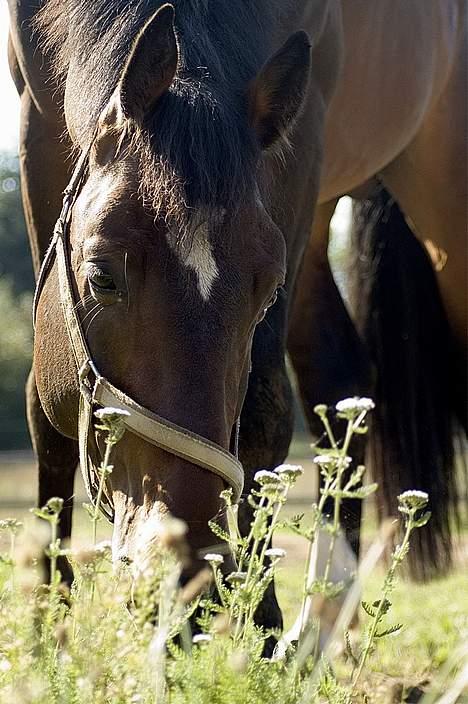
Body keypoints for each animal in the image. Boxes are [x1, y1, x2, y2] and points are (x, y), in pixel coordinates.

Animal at [7, 0, 342, 640]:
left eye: (268, 292)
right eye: (102, 276)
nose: (186, 571)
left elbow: (265, 411)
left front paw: (261, 628)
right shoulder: (34, 120)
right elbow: (42, 409)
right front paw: (46, 629)